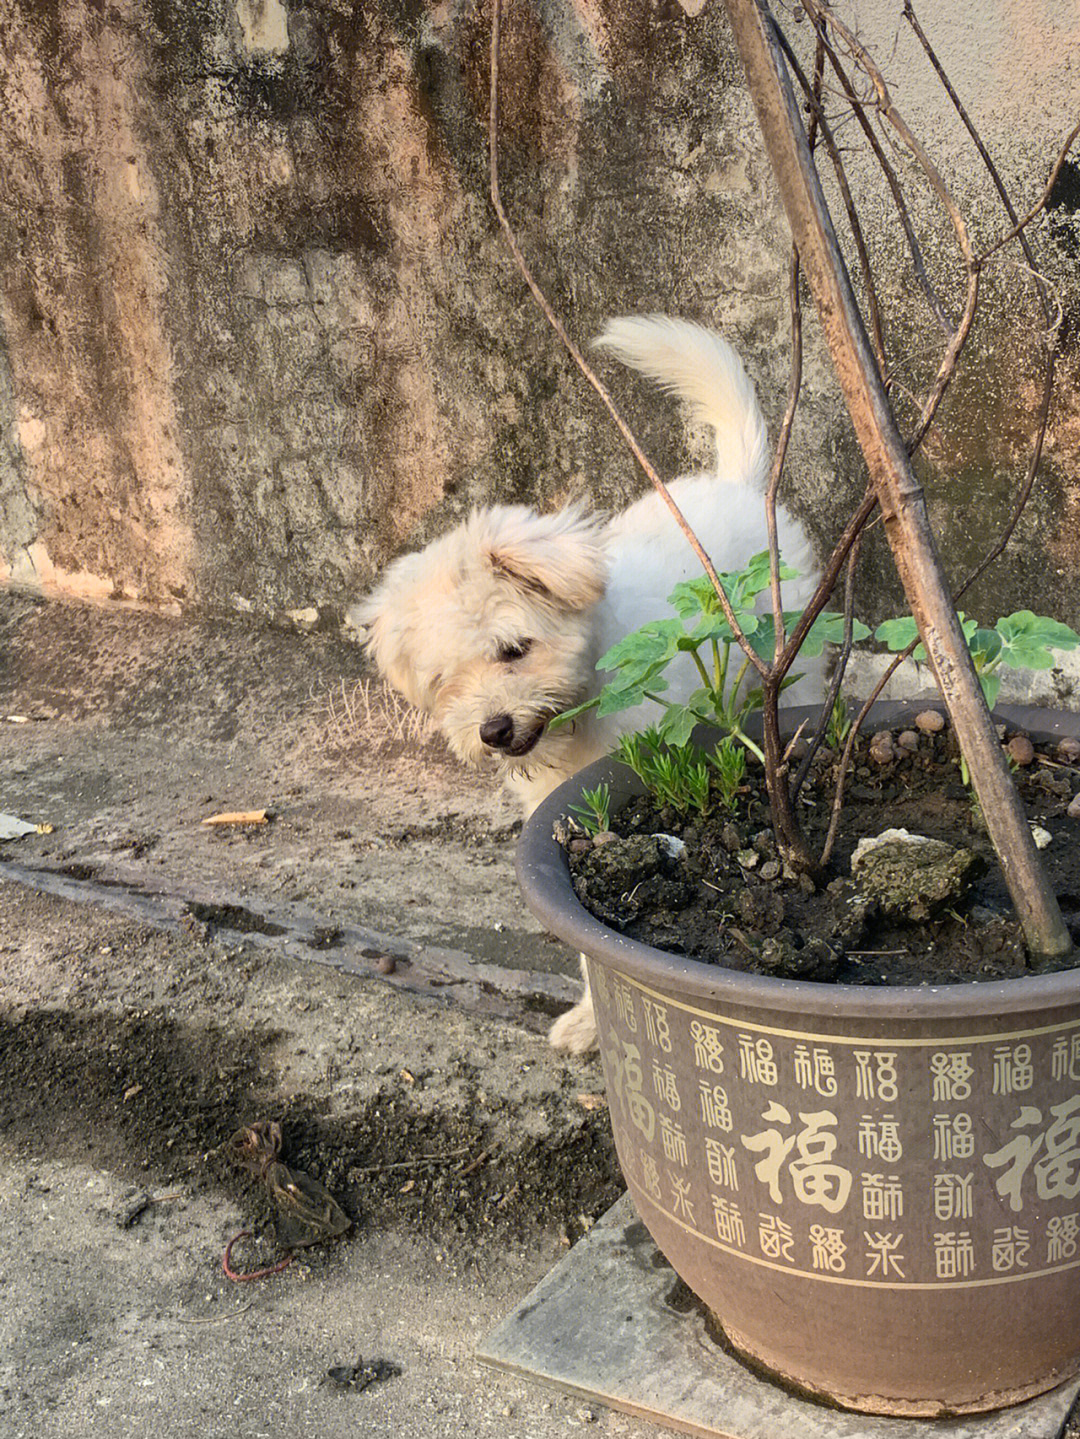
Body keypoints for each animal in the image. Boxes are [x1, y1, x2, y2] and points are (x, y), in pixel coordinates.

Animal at [355, 315, 816, 1053]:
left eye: (514, 650)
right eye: (447, 681)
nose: (493, 729)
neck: (581, 713)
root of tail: (740, 485)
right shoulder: (558, 810)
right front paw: (593, 1018)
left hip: (793, 662)